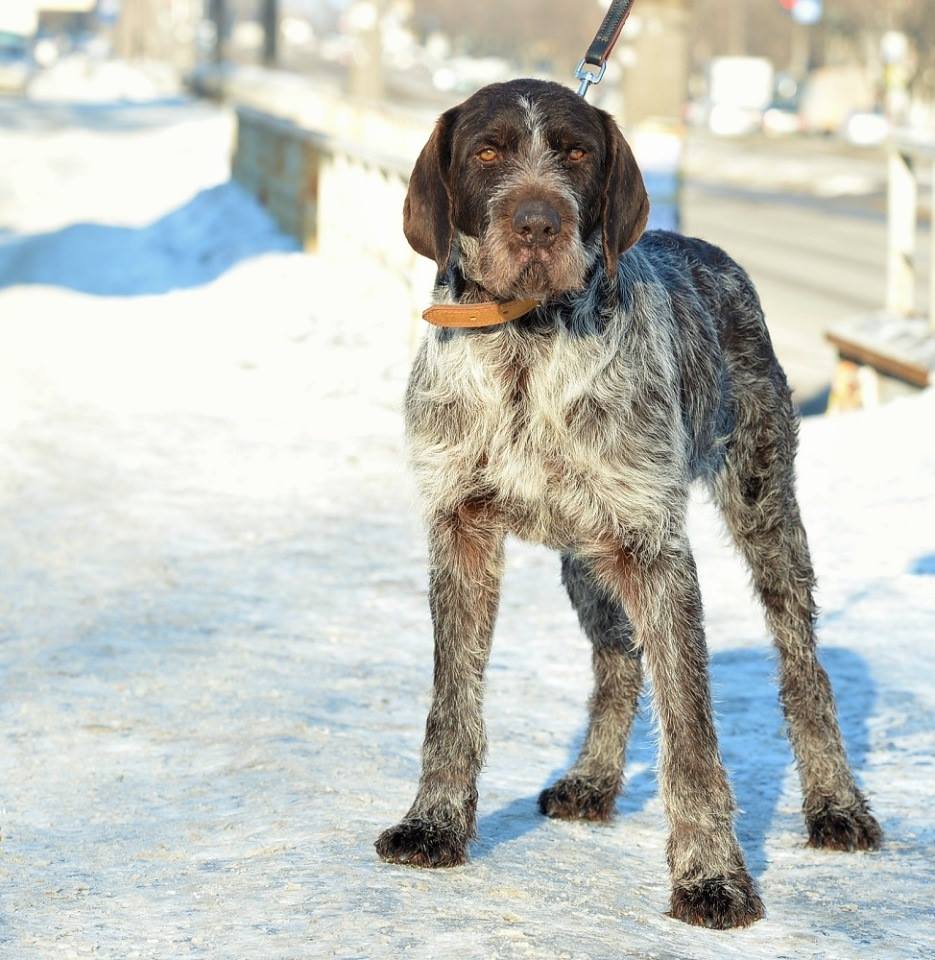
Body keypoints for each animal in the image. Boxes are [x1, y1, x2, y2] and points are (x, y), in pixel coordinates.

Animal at [372, 82, 876, 928]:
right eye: (485, 152)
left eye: (576, 152)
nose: (537, 223)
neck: (525, 344)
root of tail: (710, 252)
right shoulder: (460, 531)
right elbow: (452, 704)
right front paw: (433, 822)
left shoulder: (654, 549)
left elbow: (691, 738)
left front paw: (711, 876)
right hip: (586, 558)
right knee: (617, 662)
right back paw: (595, 779)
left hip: (762, 509)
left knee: (803, 669)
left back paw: (835, 803)